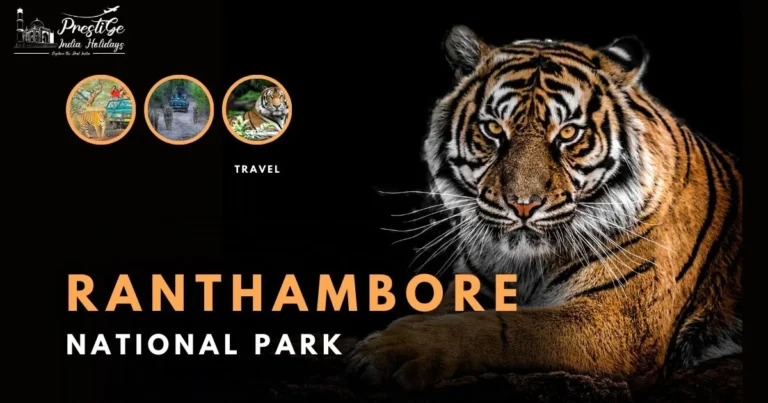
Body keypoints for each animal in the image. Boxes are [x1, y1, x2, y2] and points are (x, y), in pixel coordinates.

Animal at [346, 25, 742, 394]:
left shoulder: (619, 321)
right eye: (493, 129)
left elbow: (502, 328)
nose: (523, 204)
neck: (526, 265)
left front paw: (392, 349)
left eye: (567, 133)